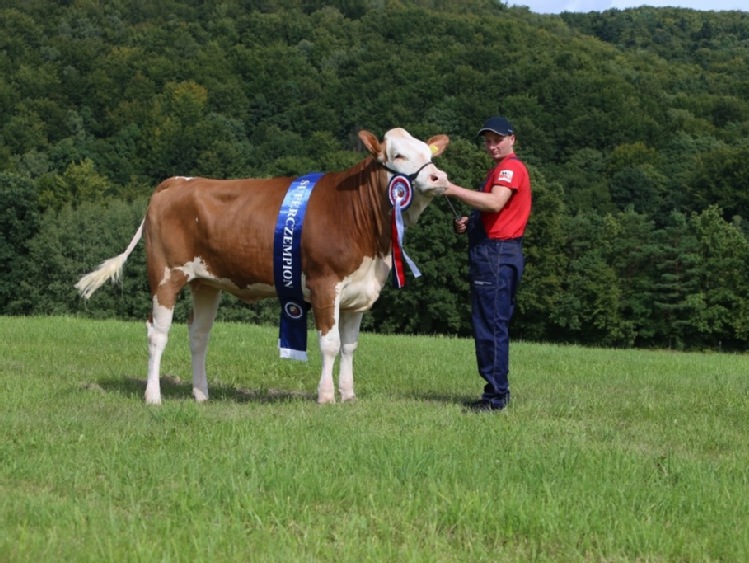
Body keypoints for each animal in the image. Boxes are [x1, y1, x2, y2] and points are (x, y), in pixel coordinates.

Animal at [76, 129, 450, 406]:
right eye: (399, 155)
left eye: (429, 154)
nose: (439, 177)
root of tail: (178, 181)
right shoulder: (324, 283)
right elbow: (329, 344)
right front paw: (326, 396)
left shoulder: (359, 293)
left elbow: (349, 347)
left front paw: (348, 395)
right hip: (166, 275)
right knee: (157, 333)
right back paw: (153, 396)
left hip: (205, 283)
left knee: (198, 336)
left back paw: (201, 394)